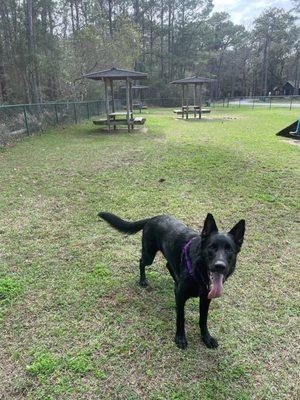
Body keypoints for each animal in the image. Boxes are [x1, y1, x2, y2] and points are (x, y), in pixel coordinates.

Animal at [98, 211, 244, 348]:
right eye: (211, 247)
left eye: (229, 250)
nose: (220, 266)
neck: (198, 272)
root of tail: (153, 218)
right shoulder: (181, 296)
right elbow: (181, 318)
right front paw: (180, 337)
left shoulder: (206, 298)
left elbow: (203, 319)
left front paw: (206, 337)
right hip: (149, 255)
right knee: (141, 262)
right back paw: (143, 280)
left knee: (168, 265)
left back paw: (175, 279)